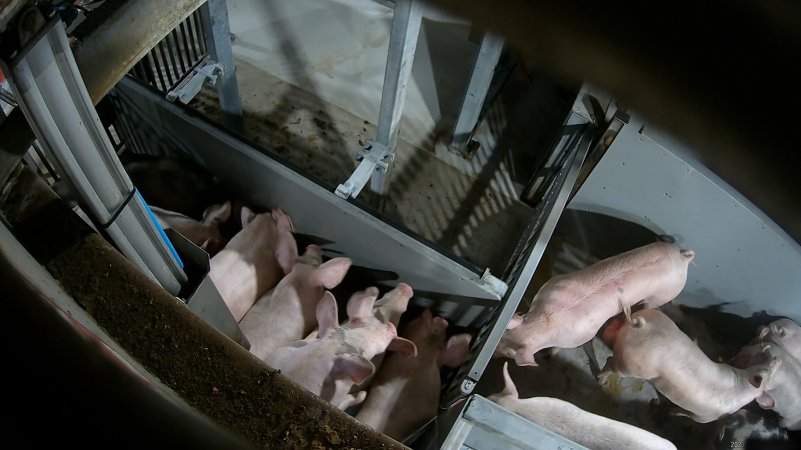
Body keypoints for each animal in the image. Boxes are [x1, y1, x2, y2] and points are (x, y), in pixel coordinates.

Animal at [494, 243, 692, 366]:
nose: (493, 354)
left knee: (650, 306)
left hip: (663, 295)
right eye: (502, 335)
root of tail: (683, 258)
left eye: (510, 353)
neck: (545, 322)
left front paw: (550, 356)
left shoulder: (584, 335)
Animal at [600, 308, 776, 424]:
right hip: (630, 364)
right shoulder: (704, 418)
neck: (742, 385)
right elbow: (688, 415)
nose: (774, 359)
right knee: (610, 361)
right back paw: (602, 381)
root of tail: (642, 325)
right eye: (766, 369)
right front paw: (672, 412)